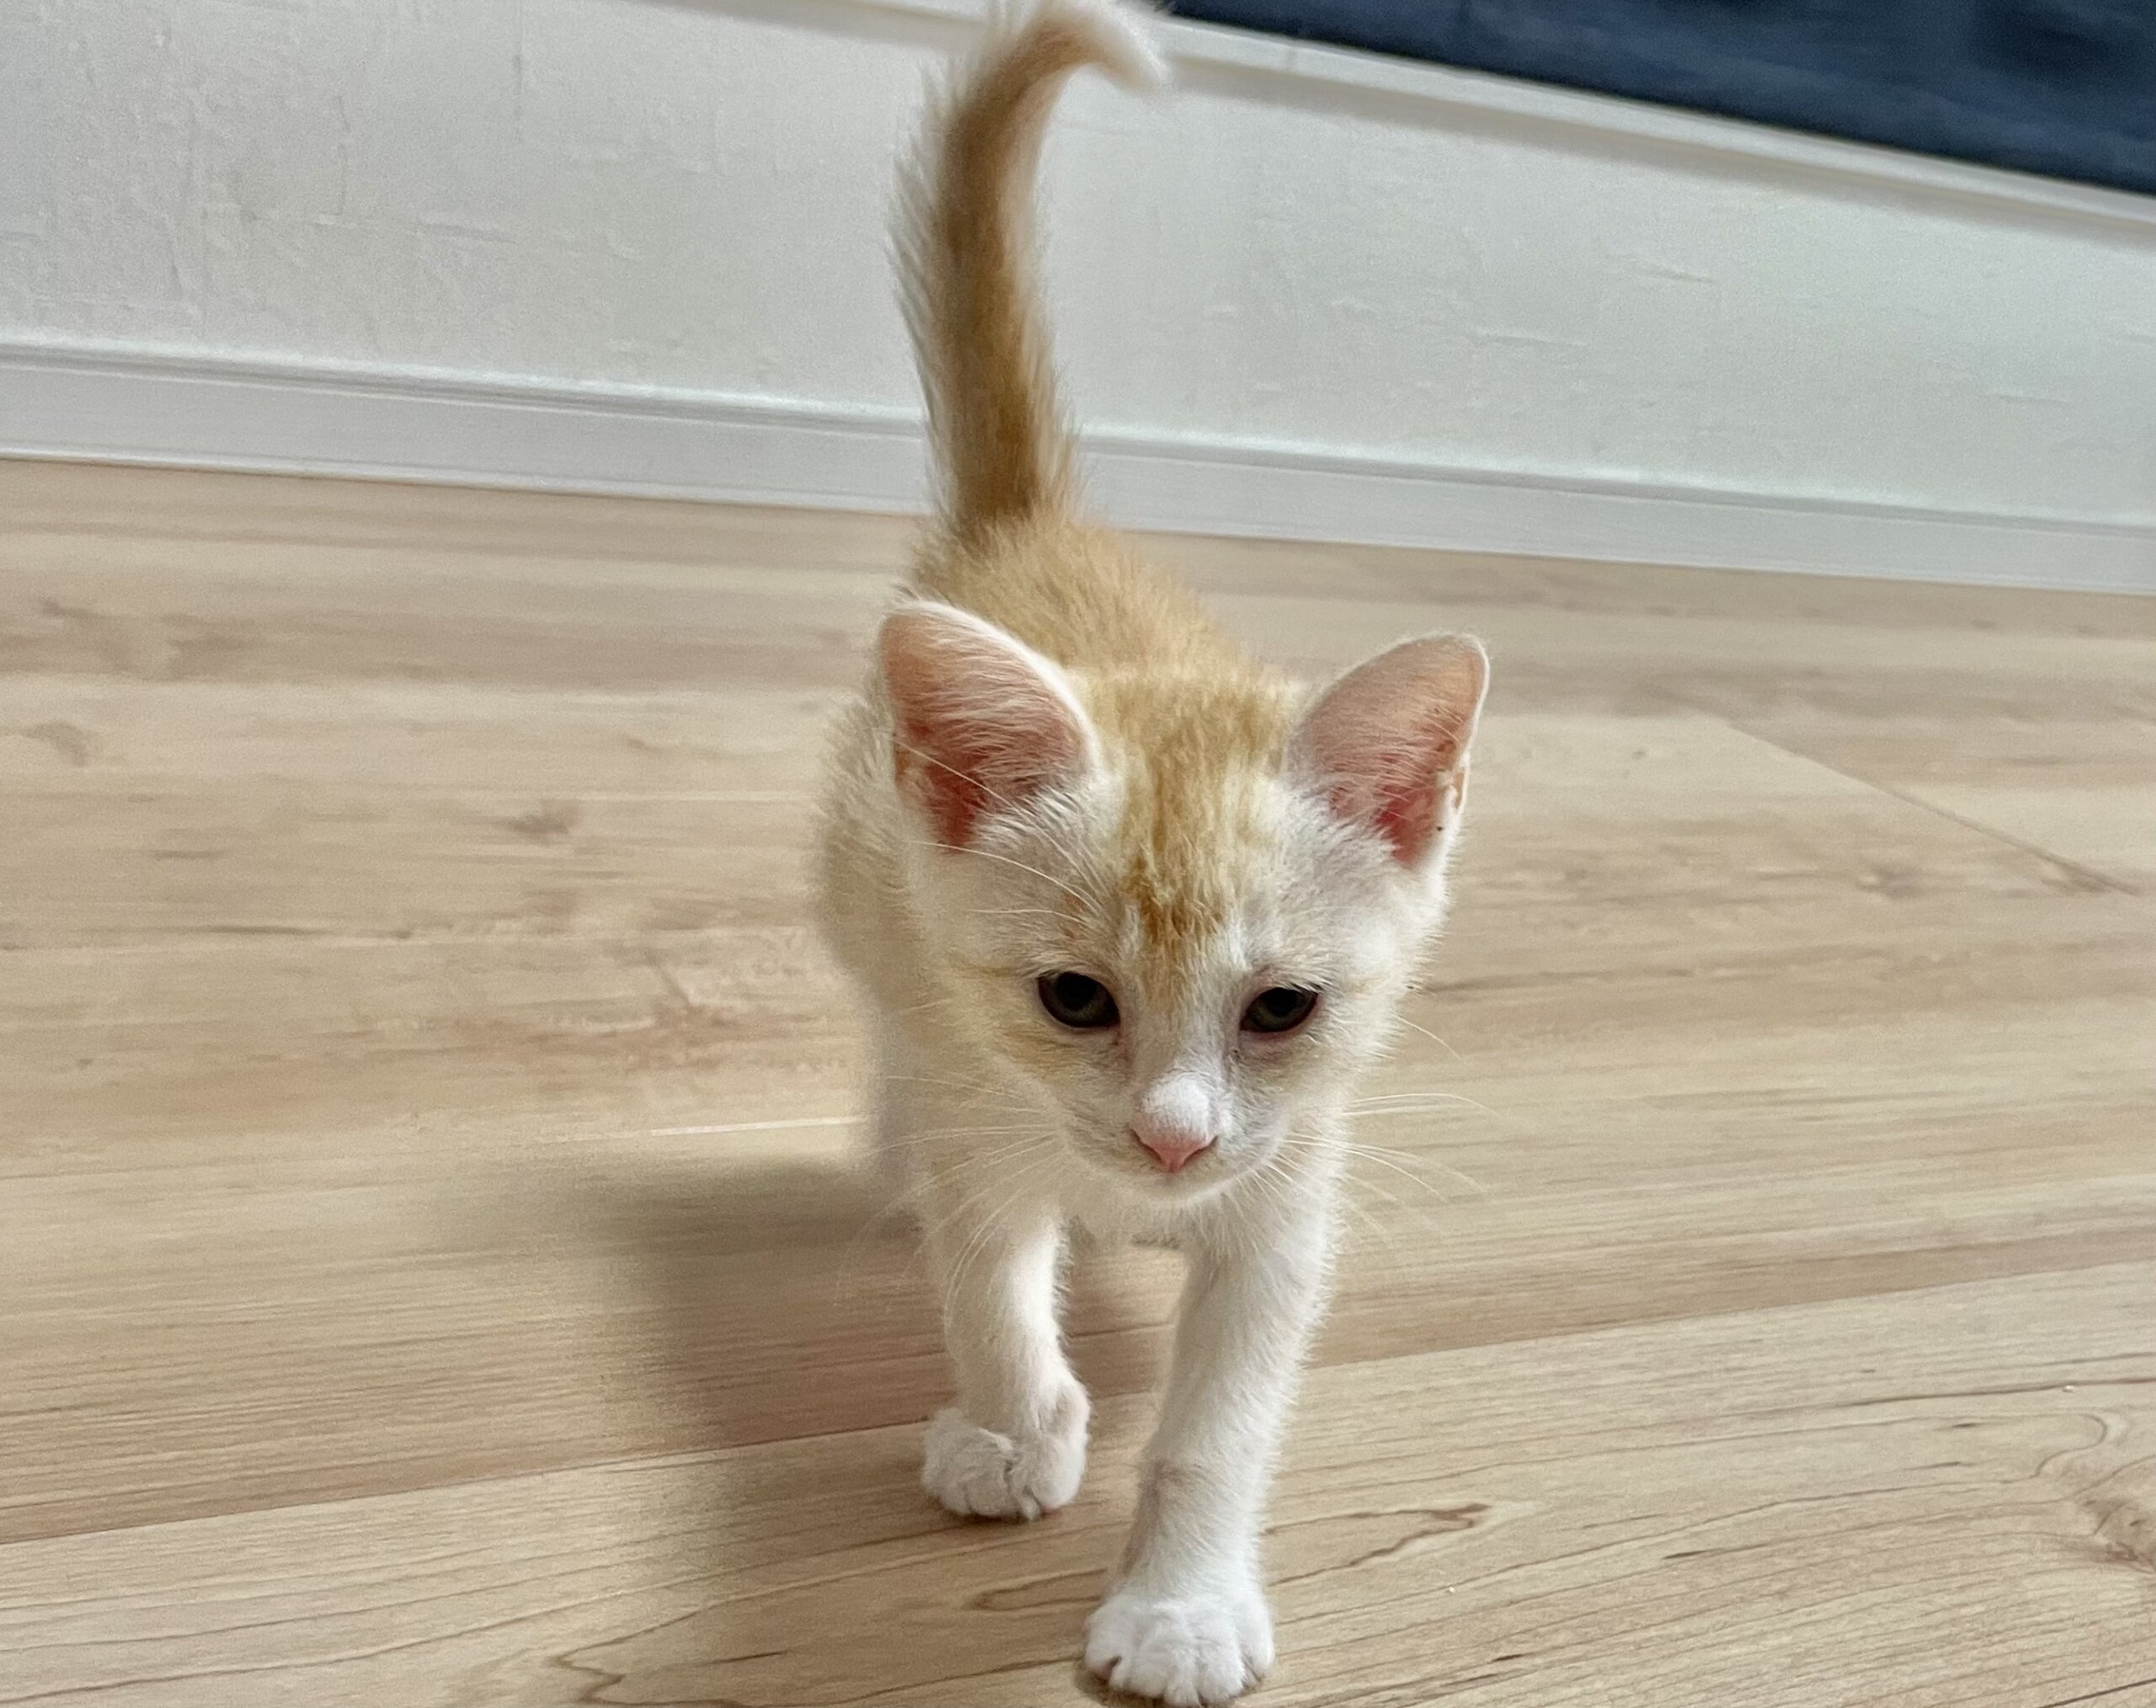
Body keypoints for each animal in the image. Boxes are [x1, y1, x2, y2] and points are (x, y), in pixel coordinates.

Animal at [812, 2, 1488, 1701]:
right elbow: (986, 1277)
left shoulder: (1291, 1194)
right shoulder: (984, 1108)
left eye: (1284, 1009)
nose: (1173, 1145)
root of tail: (1032, 528)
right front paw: (1015, 1423)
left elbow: (1219, 1423)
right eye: (1073, 998)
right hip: (863, 892)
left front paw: (1180, 1602)